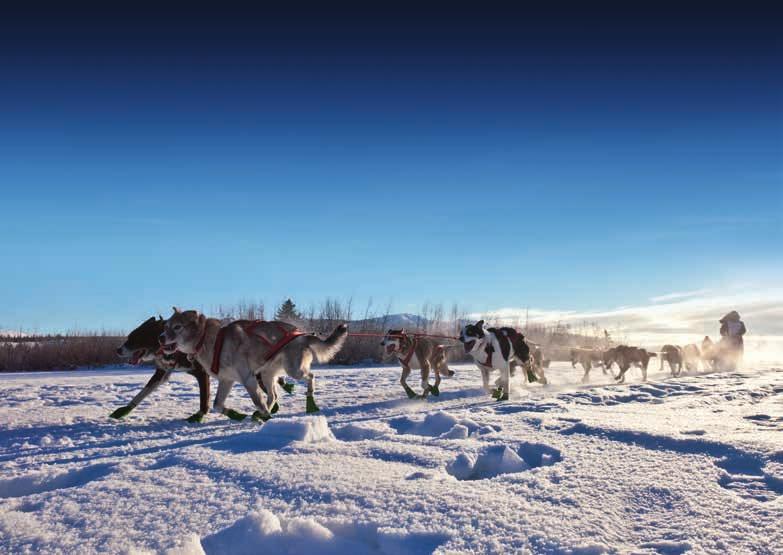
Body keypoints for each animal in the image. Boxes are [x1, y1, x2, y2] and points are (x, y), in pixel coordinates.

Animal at [159, 308, 346, 422]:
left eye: (177, 327)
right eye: (166, 326)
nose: (160, 337)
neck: (208, 338)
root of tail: (302, 334)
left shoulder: (248, 379)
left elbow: (257, 401)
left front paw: (265, 417)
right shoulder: (226, 380)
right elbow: (217, 405)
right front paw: (236, 414)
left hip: (294, 370)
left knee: (311, 376)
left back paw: (309, 400)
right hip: (267, 374)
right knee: (273, 396)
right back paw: (263, 414)